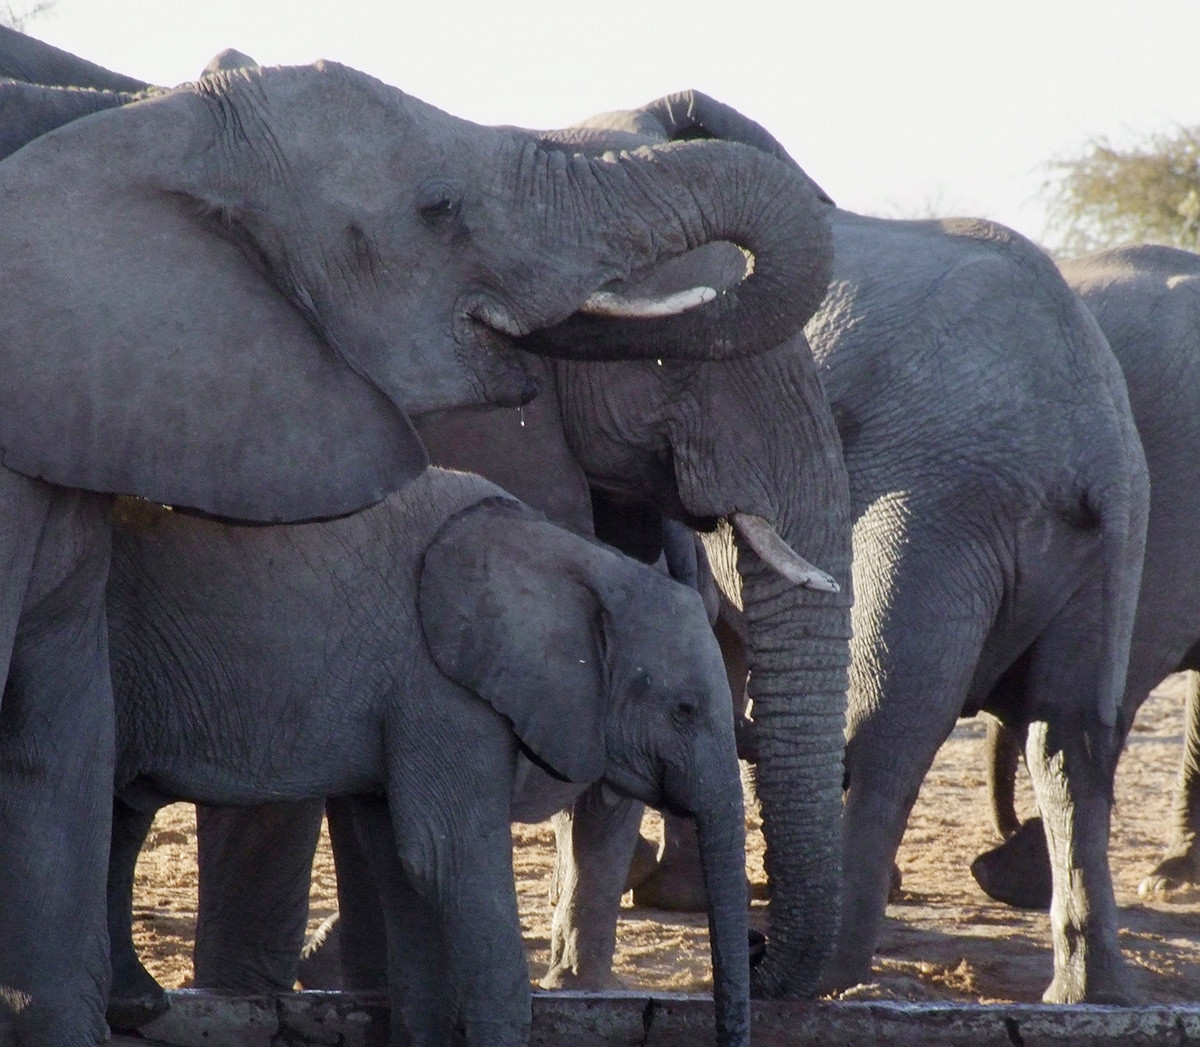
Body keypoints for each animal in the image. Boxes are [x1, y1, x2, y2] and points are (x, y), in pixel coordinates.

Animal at [102, 467, 751, 1047]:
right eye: (684, 711)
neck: (581, 560)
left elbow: (405, 867)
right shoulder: (439, 685)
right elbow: (446, 858)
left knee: (120, 814)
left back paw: (136, 1005)